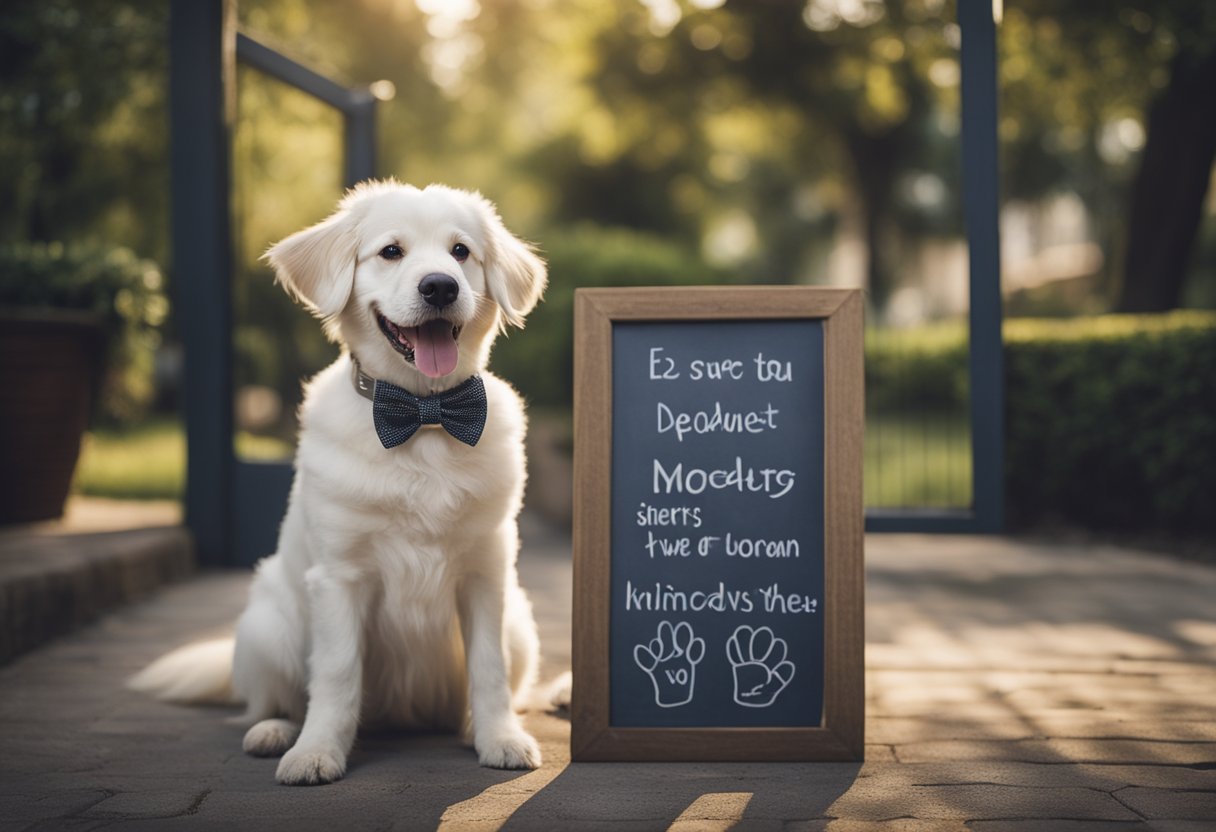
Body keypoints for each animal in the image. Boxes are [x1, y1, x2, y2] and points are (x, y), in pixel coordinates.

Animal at [131, 182, 547, 788]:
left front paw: (501, 738)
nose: (440, 286)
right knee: (271, 701)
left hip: (521, 623)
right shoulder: (339, 577)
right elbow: (335, 673)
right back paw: (275, 732)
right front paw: (317, 751)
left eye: (461, 252)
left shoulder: (486, 572)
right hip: (267, 627)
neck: (423, 417)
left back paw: (472, 726)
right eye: (391, 251)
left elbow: (488, 668)